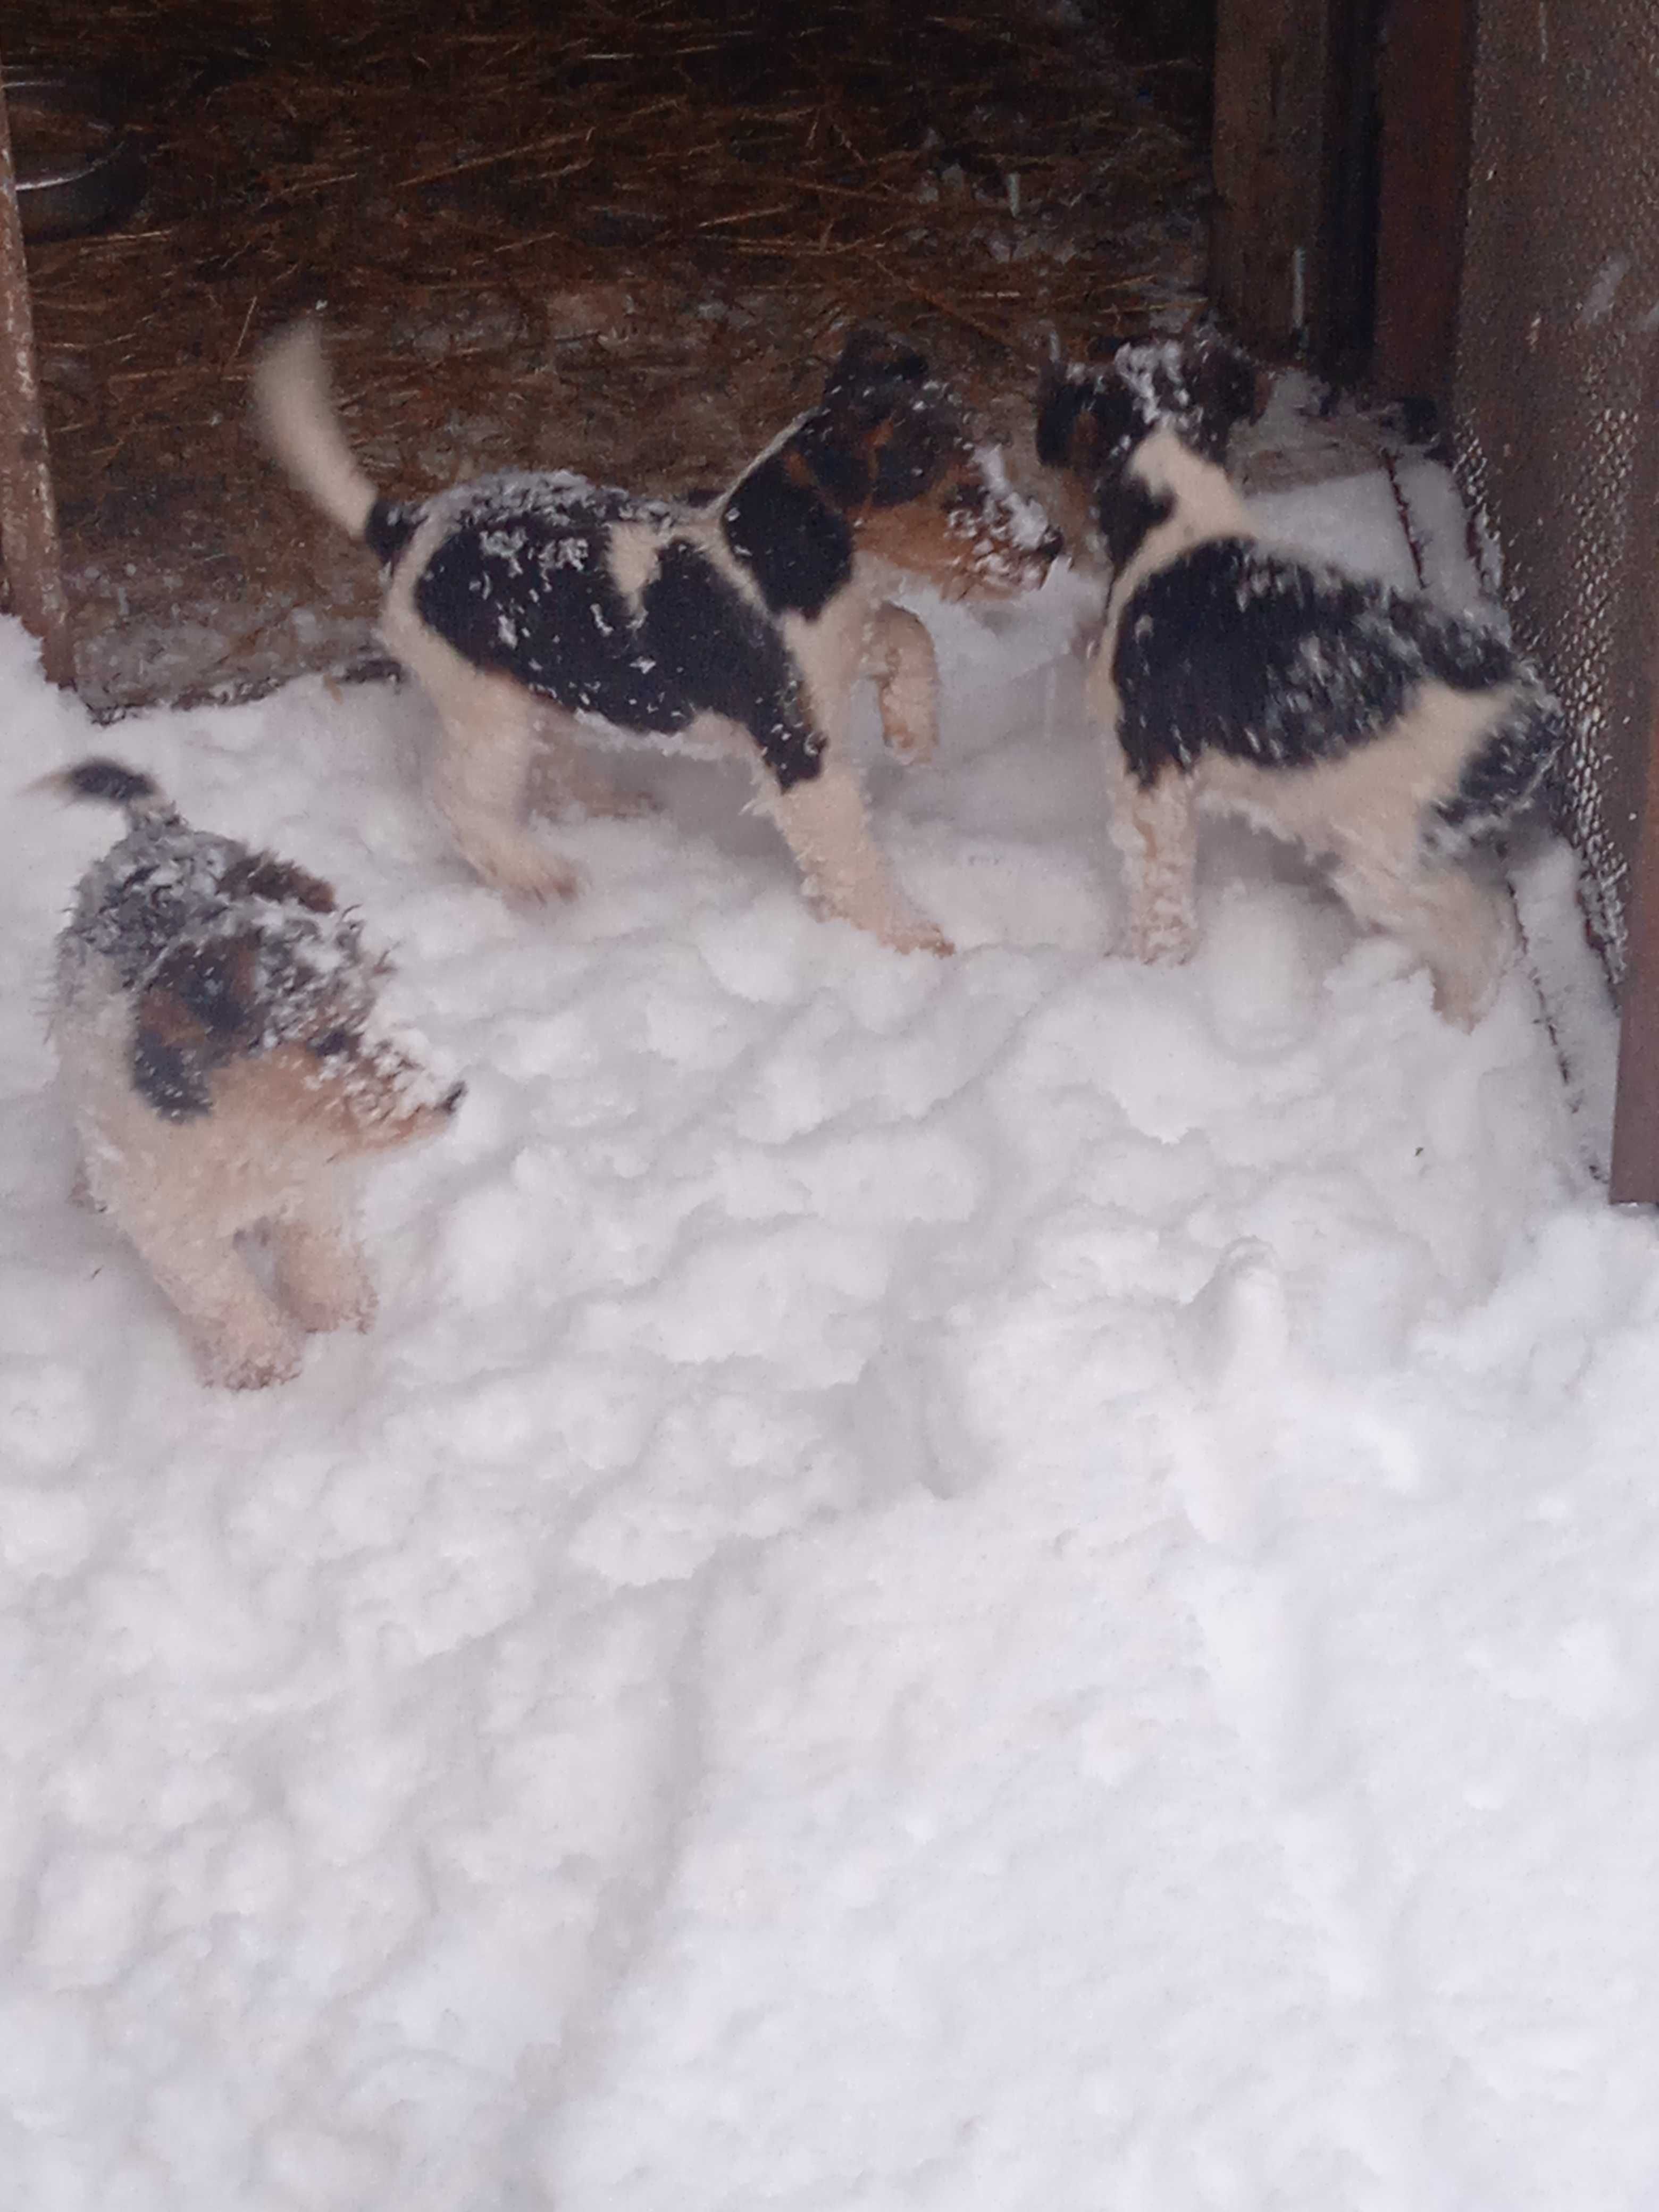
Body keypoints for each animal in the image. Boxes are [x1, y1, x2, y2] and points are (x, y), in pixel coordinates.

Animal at [48, 761, 462, 1380]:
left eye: (373, 992)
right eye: (328, 1038)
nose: (453, 1093)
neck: (251, 1125)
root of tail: (158, 831)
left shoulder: (316, 1180)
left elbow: (320, 1252)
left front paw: (341, 1319)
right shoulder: (171, 1222)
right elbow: (221, 1291)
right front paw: (264, 1364)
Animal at [259, 319, 1066, 951]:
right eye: (958, 494)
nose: (1053, 545)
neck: (777, 561)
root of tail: (408, 527)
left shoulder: (844, 641)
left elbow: (909, 629)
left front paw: (914, 730)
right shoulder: (799, 751)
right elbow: (850, 853)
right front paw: (908, 936)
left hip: (544, 684)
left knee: (551, 762)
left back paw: (614, 806)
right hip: (489, 709)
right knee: (462, 800)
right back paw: (537, 872)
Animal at [1040, 332, 1574, 1021]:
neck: (1180, 514)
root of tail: (1538, 718)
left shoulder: (1149, 780)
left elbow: (1159, 901)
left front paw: (1145, 976)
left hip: (1381, 857)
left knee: (1477, 930)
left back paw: (1447, 1017)